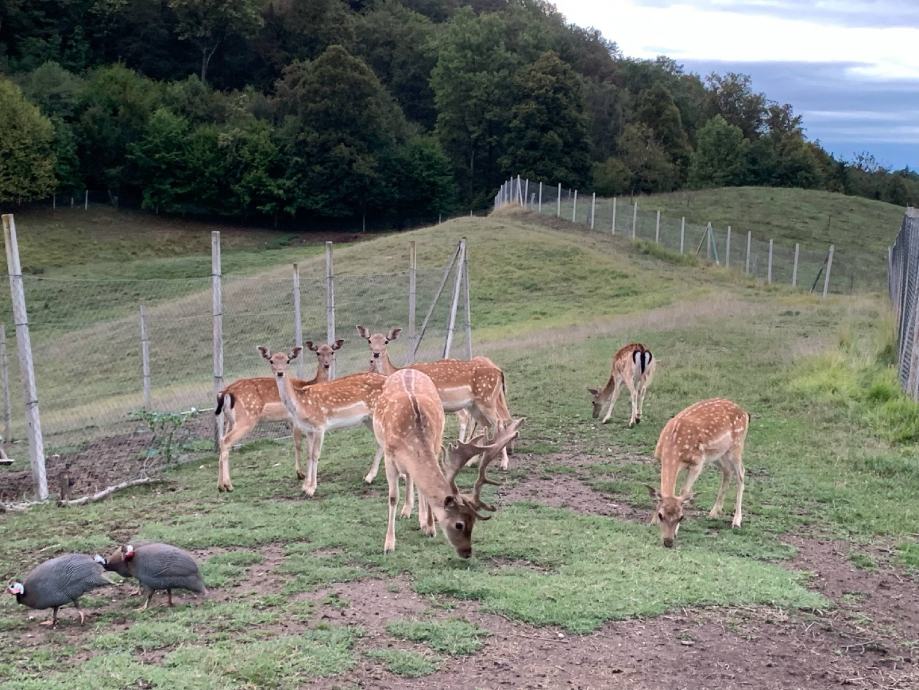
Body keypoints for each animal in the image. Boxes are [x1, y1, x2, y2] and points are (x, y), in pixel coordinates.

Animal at [216, 338, 344, 490]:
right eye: (318, 352)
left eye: (332, 351)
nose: (326, 364)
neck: (309, 384)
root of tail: (225, 392)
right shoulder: (295, 419)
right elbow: (299, 443)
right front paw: (300, 474)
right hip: (246, 418)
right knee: (226, 441)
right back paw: (228, 485)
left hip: (230, 420)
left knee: (221, 440)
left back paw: (220, 486)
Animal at [258, 344, 388, 494]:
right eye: (271, 361)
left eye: (288, 361)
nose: (280, 373)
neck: (301, 406)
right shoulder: (308, 429)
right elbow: (309, 454)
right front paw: (305, 486)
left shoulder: (320, 425)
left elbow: (315, 454)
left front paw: (311, 489)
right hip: (368, 419)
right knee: (381, 442)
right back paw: (369, 477)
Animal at [356, 326, 512, 476]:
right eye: (369, 340)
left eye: (386, 341)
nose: (375, 354)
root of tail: (499, 372)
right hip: (476, 404)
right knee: (487, 423)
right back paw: (473, 461)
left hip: (487, 399)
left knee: (498, 423)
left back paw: (503, 463)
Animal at [372, 368, 516, 556]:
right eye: (459, 524)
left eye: (473, 522)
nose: (467, 552)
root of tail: (408, 369)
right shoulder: (389, 456)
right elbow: (392, 497)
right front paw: (389, 544)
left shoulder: (434, 446)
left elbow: (424, 490)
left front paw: (430, 528)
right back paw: (406, 511)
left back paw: (420, 519)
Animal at [652, 396, 752, 544]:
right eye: (661, 515)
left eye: (681, 517)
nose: (668, 540)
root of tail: (745, 412)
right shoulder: (660, 460)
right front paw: (652, 521)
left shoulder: (697, 463)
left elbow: (684, 492)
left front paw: (676, 531)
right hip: (717, 454)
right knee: (727, 471)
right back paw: (714, 512)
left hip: (736, 446)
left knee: (741, 473)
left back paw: (736, 521)